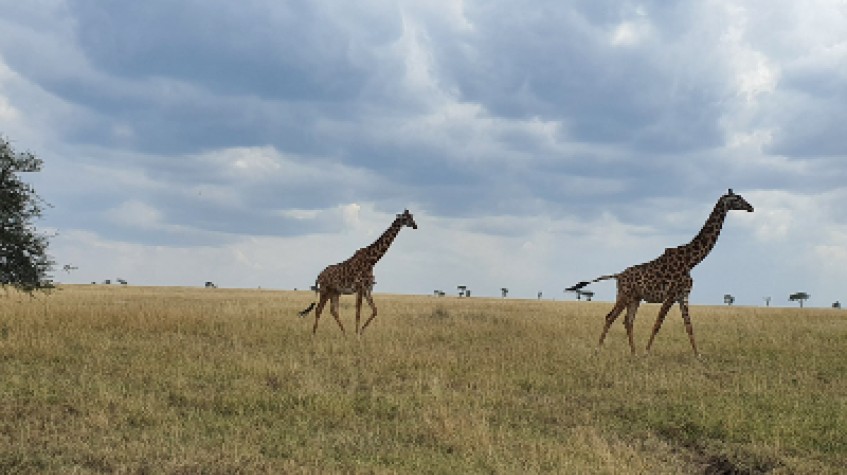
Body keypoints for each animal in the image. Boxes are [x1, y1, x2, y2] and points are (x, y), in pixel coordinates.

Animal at [568, 190, 756, 356]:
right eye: (737, 198)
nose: (751, 207)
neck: (691, 261)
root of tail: (618, 275)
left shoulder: (683, 295)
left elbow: (689, 326)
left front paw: (698, 356)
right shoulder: (671, 295)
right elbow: (658, 323)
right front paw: (646, 353)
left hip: (635, 298)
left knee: (628, 321)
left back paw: (633, 353)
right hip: (625, 295)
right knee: (610, 317)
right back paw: (597, 351)